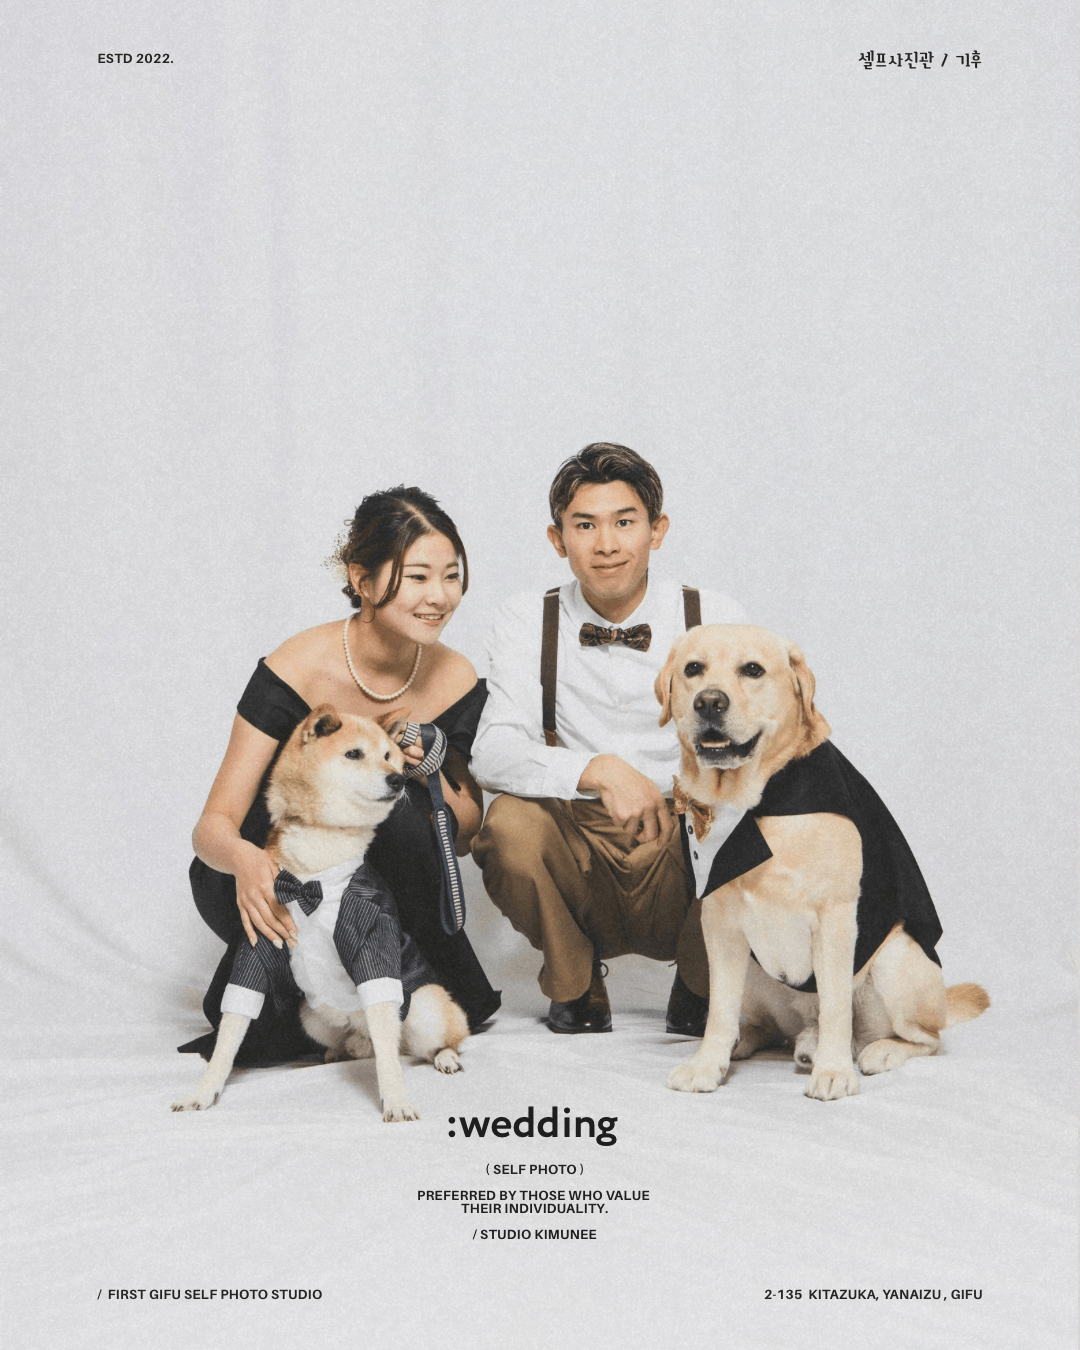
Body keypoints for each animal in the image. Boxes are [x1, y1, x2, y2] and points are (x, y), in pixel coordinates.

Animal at [173, 705, 469, 1120]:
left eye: (389, 755)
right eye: (354, 754)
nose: (397, 779)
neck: (315, 868)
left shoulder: (374, 939)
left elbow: (388, 1055)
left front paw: (395, 1099)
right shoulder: (258, 945)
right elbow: (231, 1031)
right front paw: (203, 1092)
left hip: (425, 1008)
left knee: (423, 1043)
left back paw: (444, 1058)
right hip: (311, 1017)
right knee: (365, 1045)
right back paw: (336, 1053)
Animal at [655, 625, 988, 1101]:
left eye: (752, 670)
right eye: (693, 669)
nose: (709, 702)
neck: (760, 804)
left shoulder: (834, 918)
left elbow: (835, 1007)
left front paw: (833, 1070)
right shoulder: (719, 924)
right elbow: (719, 1010)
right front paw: (706, 1062)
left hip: (895, 962)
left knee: (925, 1037)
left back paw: (875, 1050)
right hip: (753, 971)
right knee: (766, 1027)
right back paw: (751, 1042)